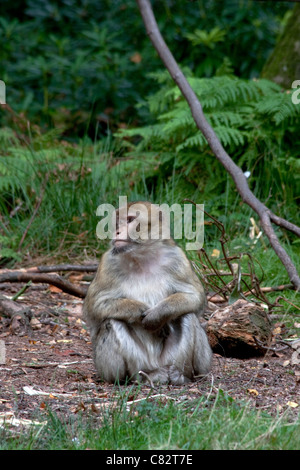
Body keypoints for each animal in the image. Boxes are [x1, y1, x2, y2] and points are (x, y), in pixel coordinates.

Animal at [83, 200, 212, 384]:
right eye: (117, 223)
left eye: (130, 220)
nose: (117, 231)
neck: (142, 257)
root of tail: (158, 366)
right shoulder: (107, 263)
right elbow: (95, 306)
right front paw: (139, 310)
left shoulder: (177, 258)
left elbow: (195, 297)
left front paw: (158, 314)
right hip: (126, 365)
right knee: (112, 321)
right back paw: (141, 376)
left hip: (175, 359)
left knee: (187, 314)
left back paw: (179, 374)